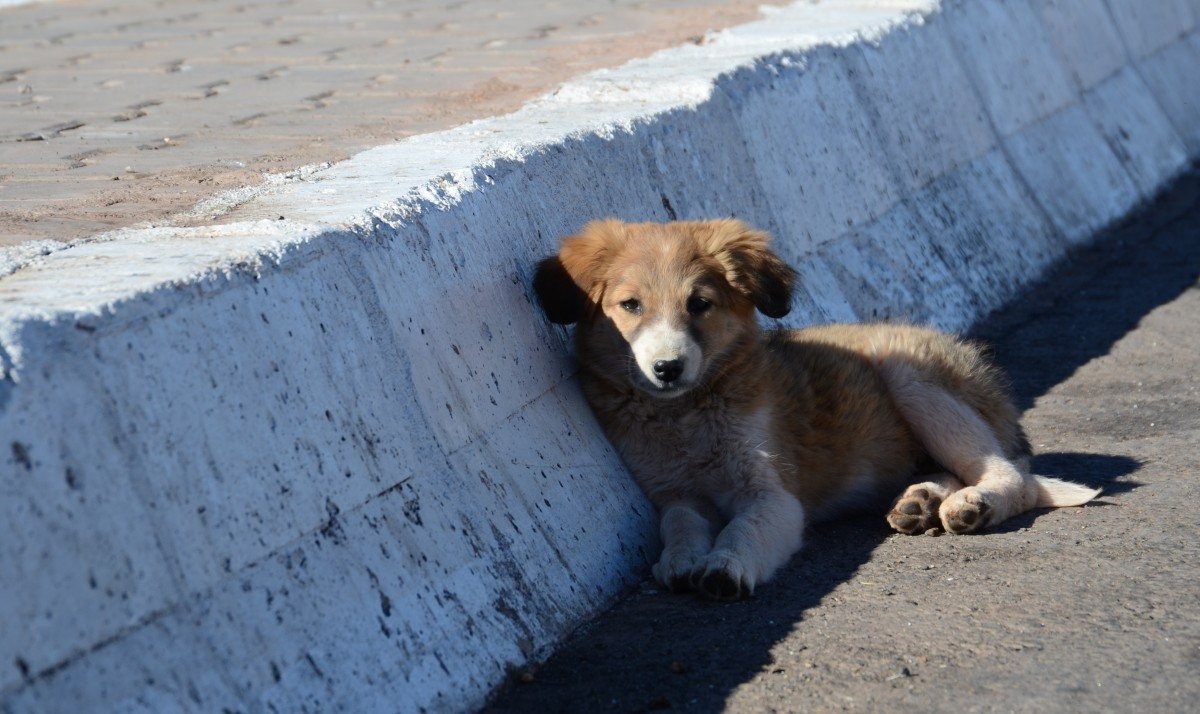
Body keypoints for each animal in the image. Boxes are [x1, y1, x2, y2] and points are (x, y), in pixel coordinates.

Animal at [535, 220, 1099, 600]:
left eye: (700, 304)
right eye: (630, 306)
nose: (667, 368)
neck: (687, 414)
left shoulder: (773, 494)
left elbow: (745, 529)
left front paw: (723, 567)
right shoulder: (673, 492)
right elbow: (679, 524)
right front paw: (680, 559)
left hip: (908, 373)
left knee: (1013, 476)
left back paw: (972, 505)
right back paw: (920, 501)